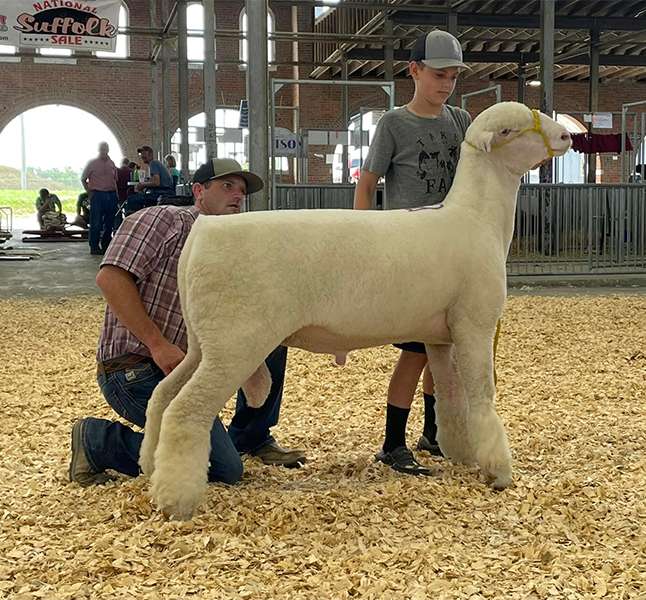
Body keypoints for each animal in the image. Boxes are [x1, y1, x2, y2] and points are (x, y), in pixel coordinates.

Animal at [139, 102, 572, 521]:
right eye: (509, 129)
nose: (567, 136)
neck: (478, 217)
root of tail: (201, 233)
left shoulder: (440, 337)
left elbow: (451, 400)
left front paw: (463, 454)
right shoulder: (475, 324)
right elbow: (481, 397)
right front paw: (498, 471)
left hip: (205, 342)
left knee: (161, 394)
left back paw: (149, 468)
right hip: (236, 343)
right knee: (185, 410)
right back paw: (176, 501)